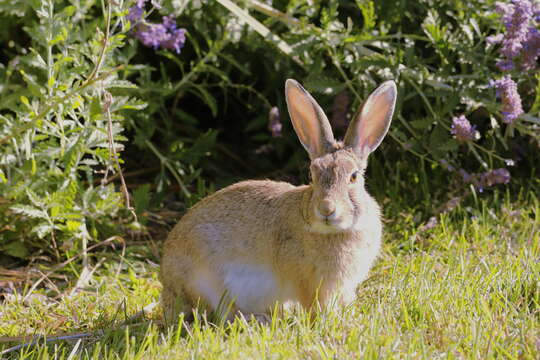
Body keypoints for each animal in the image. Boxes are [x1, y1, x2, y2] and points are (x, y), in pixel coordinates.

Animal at [160, 78, 396, 320]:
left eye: (354, 176)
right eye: (312, 175)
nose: (327, 208)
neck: (334, 231)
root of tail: (167, 287)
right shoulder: (307, 282)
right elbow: (314, 305)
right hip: (206, 282)